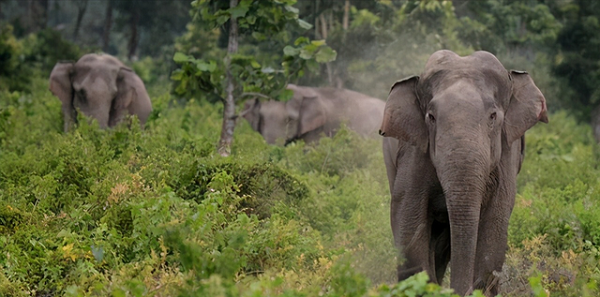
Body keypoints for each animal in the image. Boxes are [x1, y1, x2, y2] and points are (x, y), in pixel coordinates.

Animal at [380, 49, 548, 294]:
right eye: (431, 117)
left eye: (493, 116)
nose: (461, 291)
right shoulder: (413, 151)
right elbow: (409, 215)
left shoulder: (507, 151)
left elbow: (495, 221)